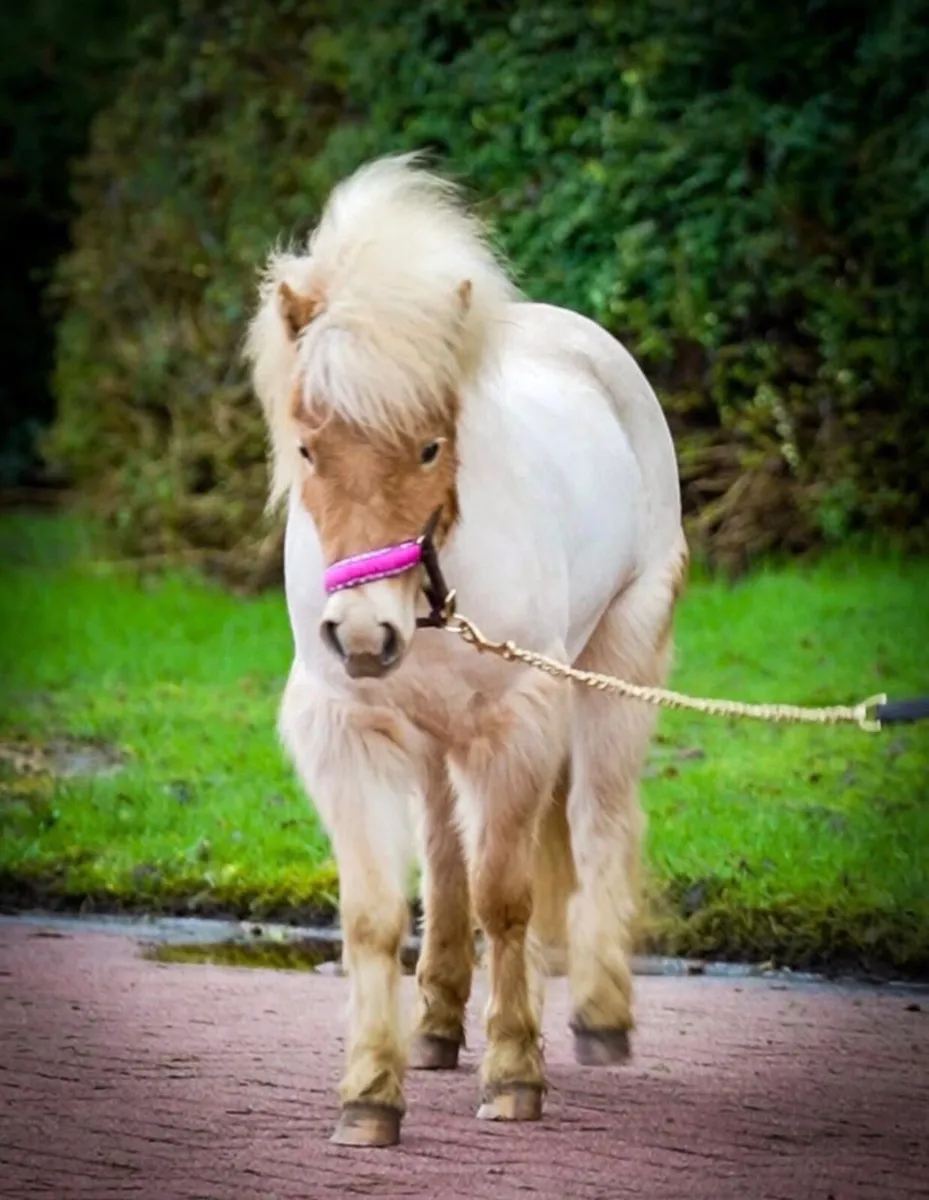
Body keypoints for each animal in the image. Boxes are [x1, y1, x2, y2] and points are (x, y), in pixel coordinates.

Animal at [244, 153, 687, 1147]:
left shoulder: (518, 726)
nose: (361, 634)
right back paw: (439, 1024)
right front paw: (370, 1094)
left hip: (616, 667)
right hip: (434, 744)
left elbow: (507, 899)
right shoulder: (352, 735)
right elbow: (376, 915)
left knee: (597, 821)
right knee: (445, 858)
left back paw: (599, 1016)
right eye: (307, 448)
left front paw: (515, 1075)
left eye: (428, 447)